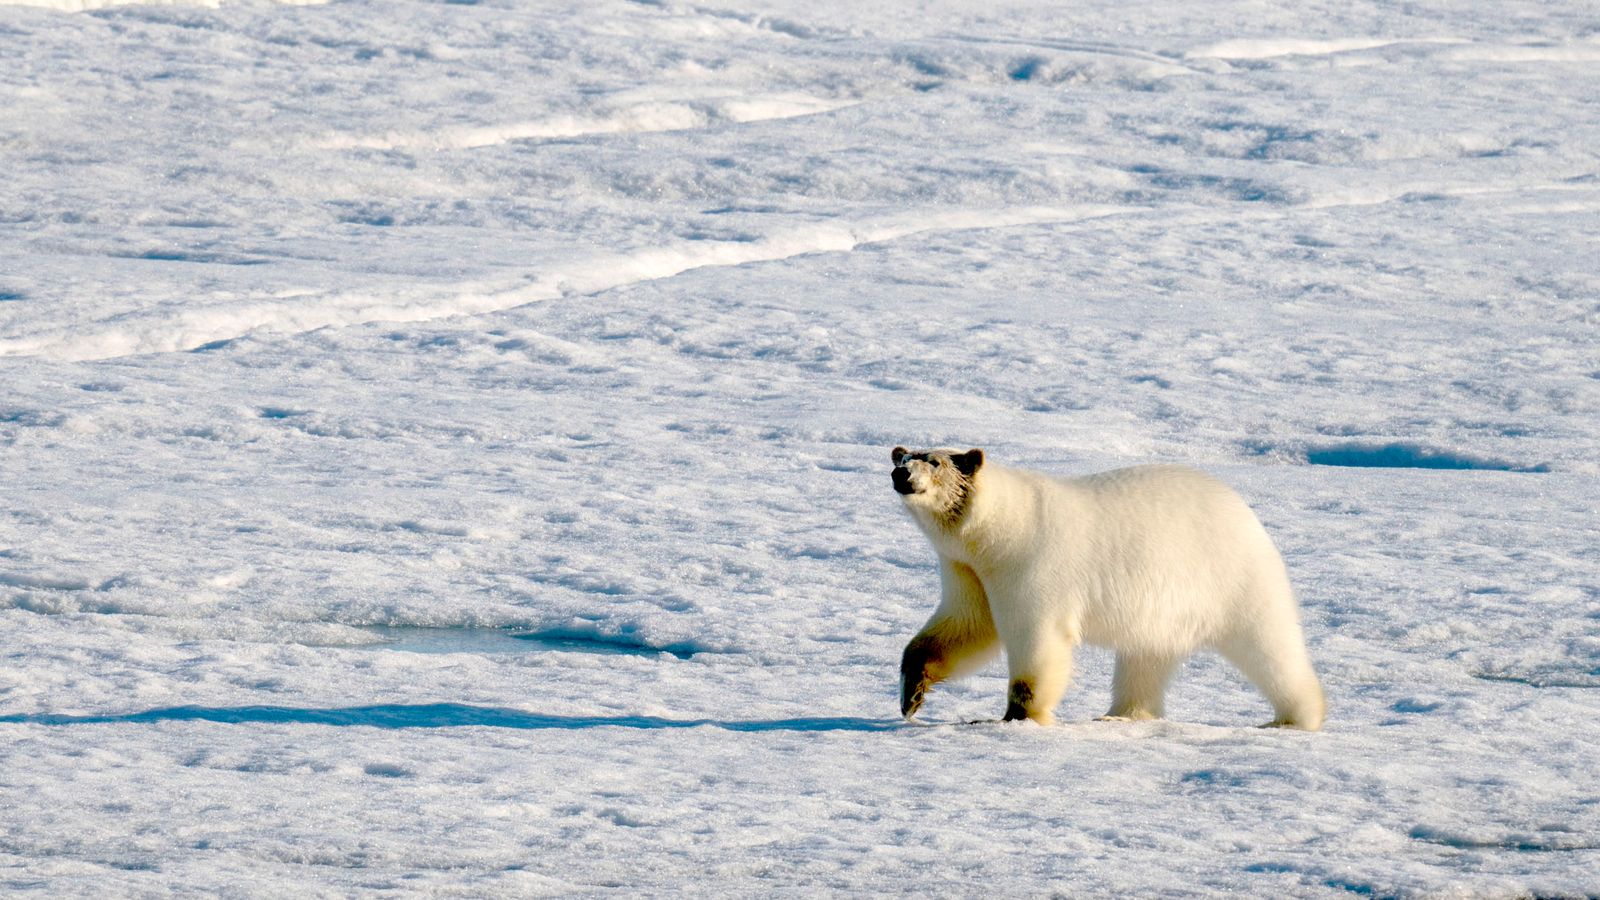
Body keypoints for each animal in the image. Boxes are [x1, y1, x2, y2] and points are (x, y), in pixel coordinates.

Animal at [889, 445, 1324, 723]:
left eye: (934, 461)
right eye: (904, 456)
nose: (900, 473)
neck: (1005, 528)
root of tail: (1246, 513)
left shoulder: (1033, 563)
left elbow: (1036, 639)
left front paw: (1016, 717)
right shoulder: (969, 570)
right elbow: (966, 625)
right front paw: (912, 694)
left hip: (1232, 579)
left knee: (1269, 645)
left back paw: (1295, 717)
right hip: (1163, 610)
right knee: (1146, 657)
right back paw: (1120, 715)